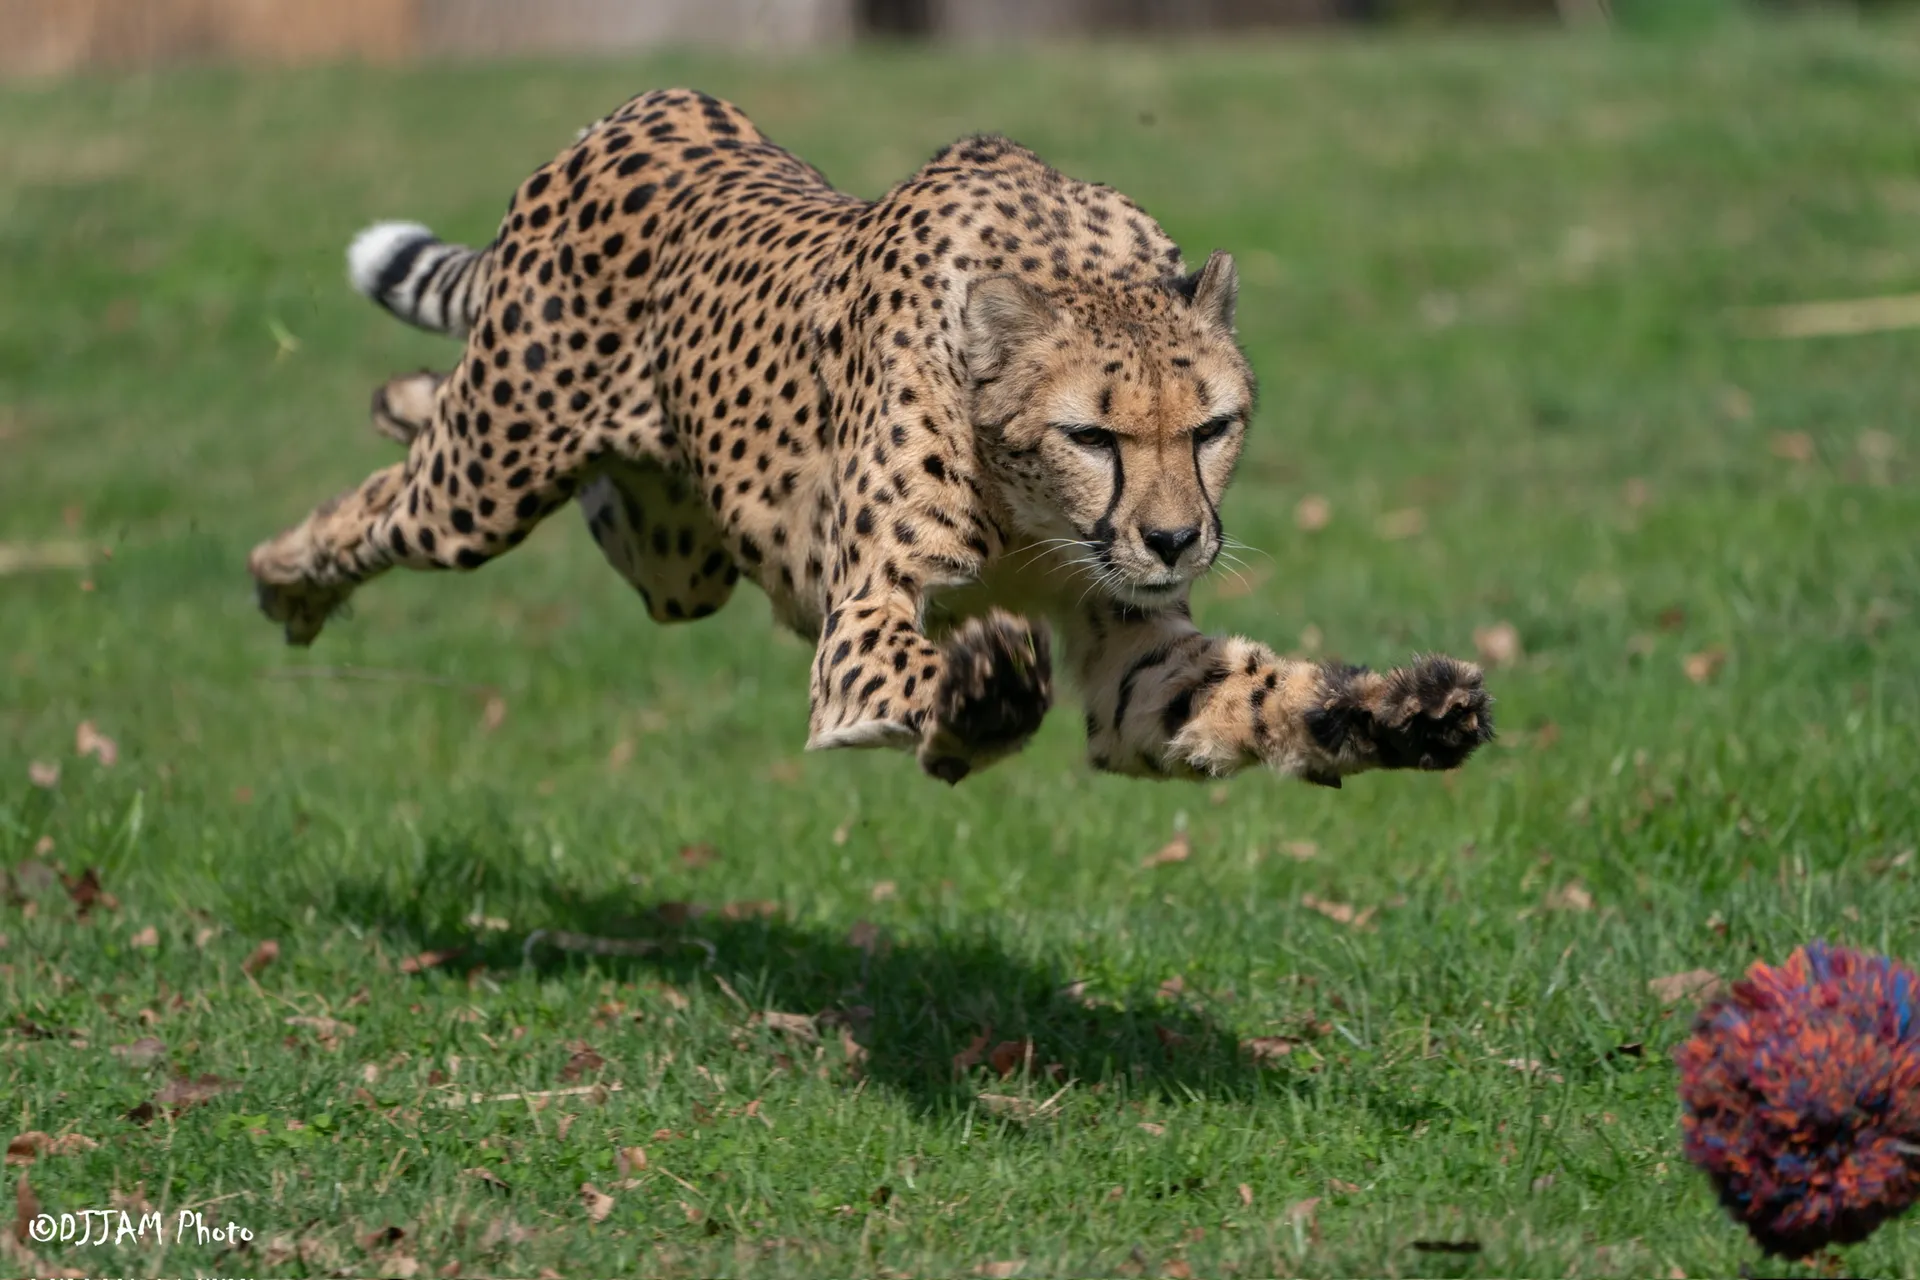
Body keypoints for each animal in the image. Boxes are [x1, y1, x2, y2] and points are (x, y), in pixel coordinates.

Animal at [249, 88, 1494, 787]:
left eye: (1213, 427)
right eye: (1092, 434)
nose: (1177, 539)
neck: (1030, 509)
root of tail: (647, 109)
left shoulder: (1130, 649)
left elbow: (1249, 692)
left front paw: (1401, 710)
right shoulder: (866, 616)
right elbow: (917, 665)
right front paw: (979, 694)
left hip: (677, 553)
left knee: (546, 475)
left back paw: (399, 398)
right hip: (489, 481)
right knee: (386, 507)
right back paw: (285, 578)